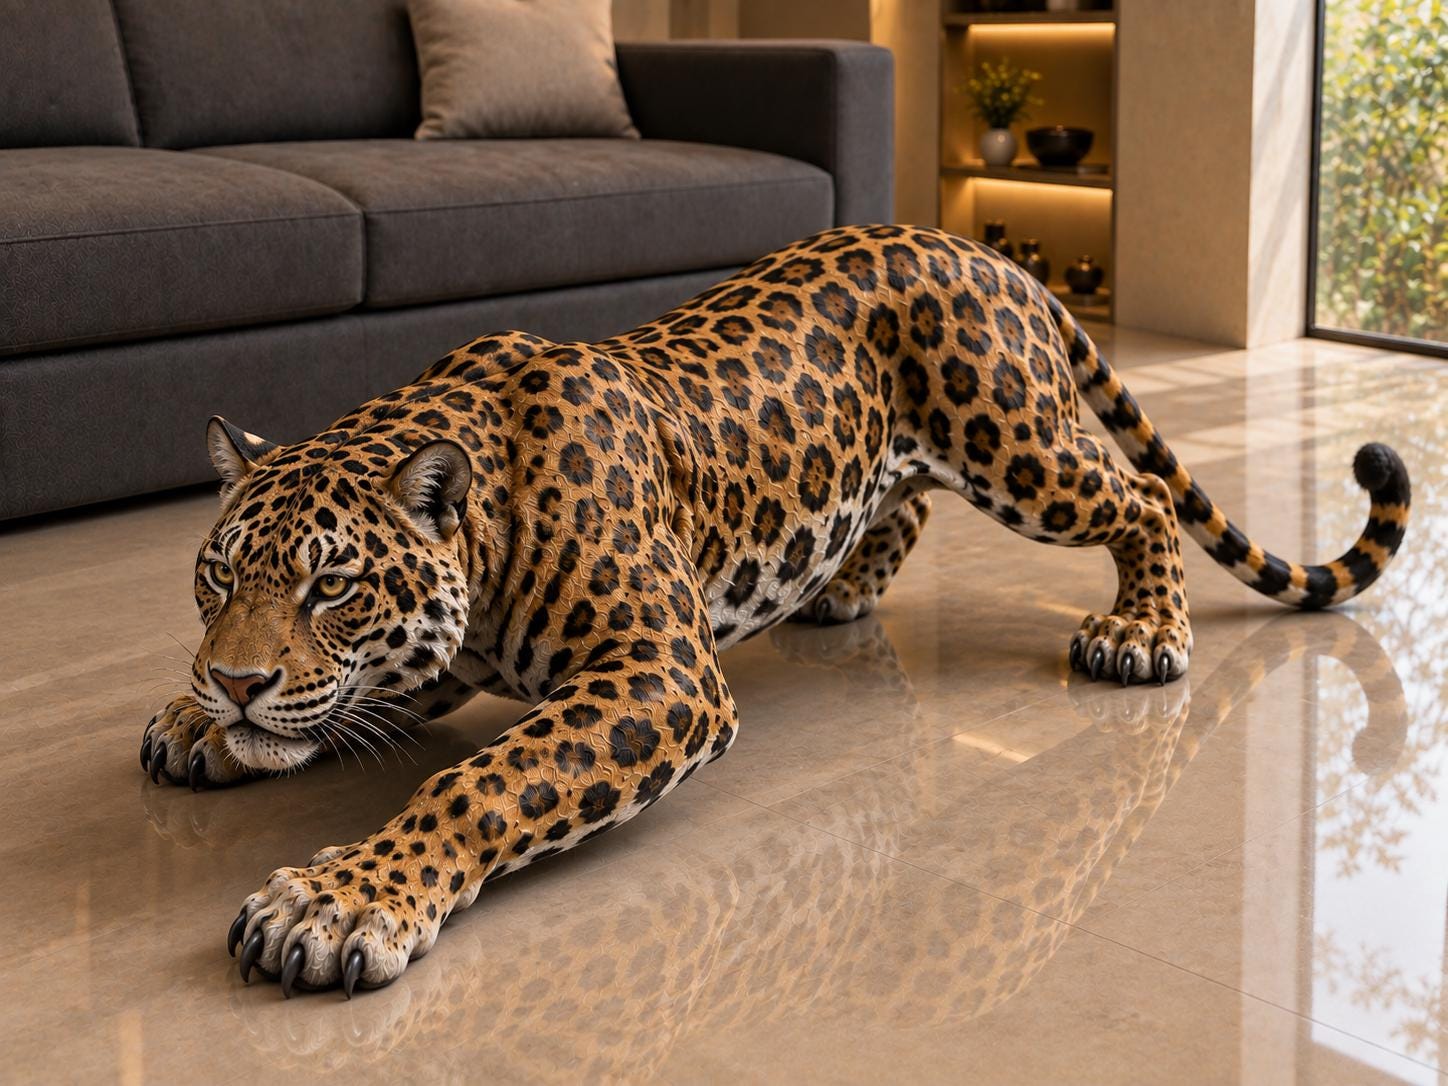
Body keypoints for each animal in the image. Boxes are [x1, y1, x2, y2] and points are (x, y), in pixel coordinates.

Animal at [137, 224, 1411, 998]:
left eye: (331, 584)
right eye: (218, 577)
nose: (236, 681)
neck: (489, 514)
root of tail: (986, 250)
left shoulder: (661, 673)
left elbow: (483, 782)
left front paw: (339, 900)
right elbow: (361, 702)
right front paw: (201, 721)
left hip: (1014, 443)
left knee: (1139, 495)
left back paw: (1143, 632)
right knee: (901, 502)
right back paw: (835, 590)